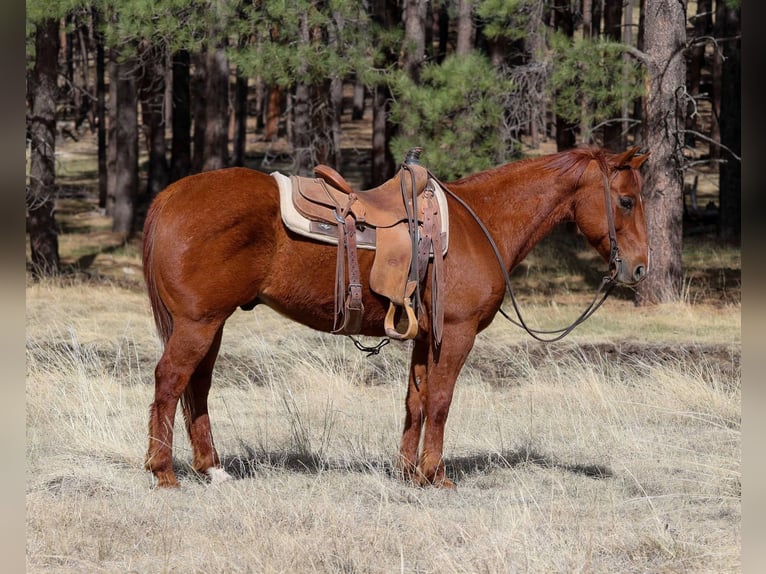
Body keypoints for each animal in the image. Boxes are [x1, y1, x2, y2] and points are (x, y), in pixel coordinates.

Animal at [141, 146, 650, 488]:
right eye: (626, 200)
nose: (640, 268)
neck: (481, 224)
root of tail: (170, 196)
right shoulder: (457, 334)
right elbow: (441, 401)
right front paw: (435, 475)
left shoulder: (426, 338)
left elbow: (416, 400)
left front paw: (408, 471)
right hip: (198, 324)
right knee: (170, 382)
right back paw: (164, 472)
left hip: (211, 325)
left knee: (197, 386)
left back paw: (212, 468)